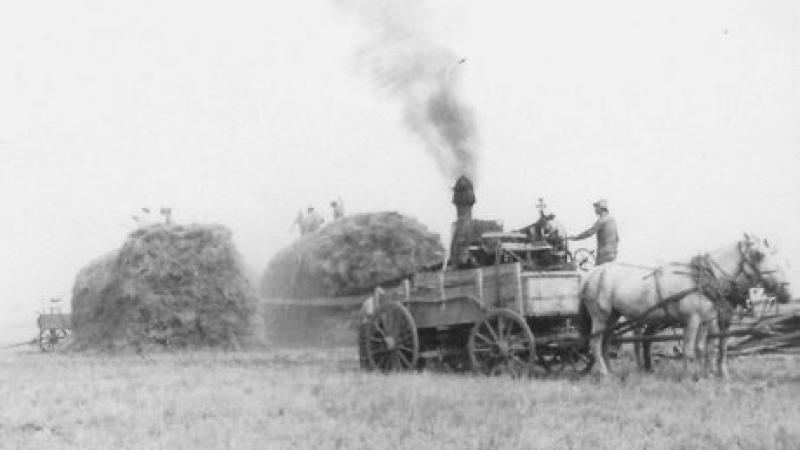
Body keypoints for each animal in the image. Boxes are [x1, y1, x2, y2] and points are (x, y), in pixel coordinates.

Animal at [580, 234, 792, 378]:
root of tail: (591, 274)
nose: (786, 292)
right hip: (600, 316)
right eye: (758, 255)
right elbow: (690, 350)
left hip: (614, 316)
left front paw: (704, 375)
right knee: (595, 343)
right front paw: (689, 376)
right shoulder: (692, 320)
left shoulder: (706, 320)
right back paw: (604, 373)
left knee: (607, 342)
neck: (704, 279)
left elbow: (702, 348)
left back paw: (611, 371)